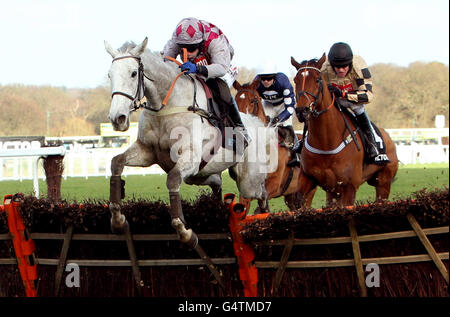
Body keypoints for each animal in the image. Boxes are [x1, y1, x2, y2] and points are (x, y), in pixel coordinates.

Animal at [290, 54, 400, 206]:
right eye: (296, 80)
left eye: (317, 79)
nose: (302, 110)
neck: (326, 143)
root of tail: (388, 137)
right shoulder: (308, 179)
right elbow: (300, 200)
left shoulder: (349, 187)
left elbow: (367, 92)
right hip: (333, 191)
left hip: (383, 182)